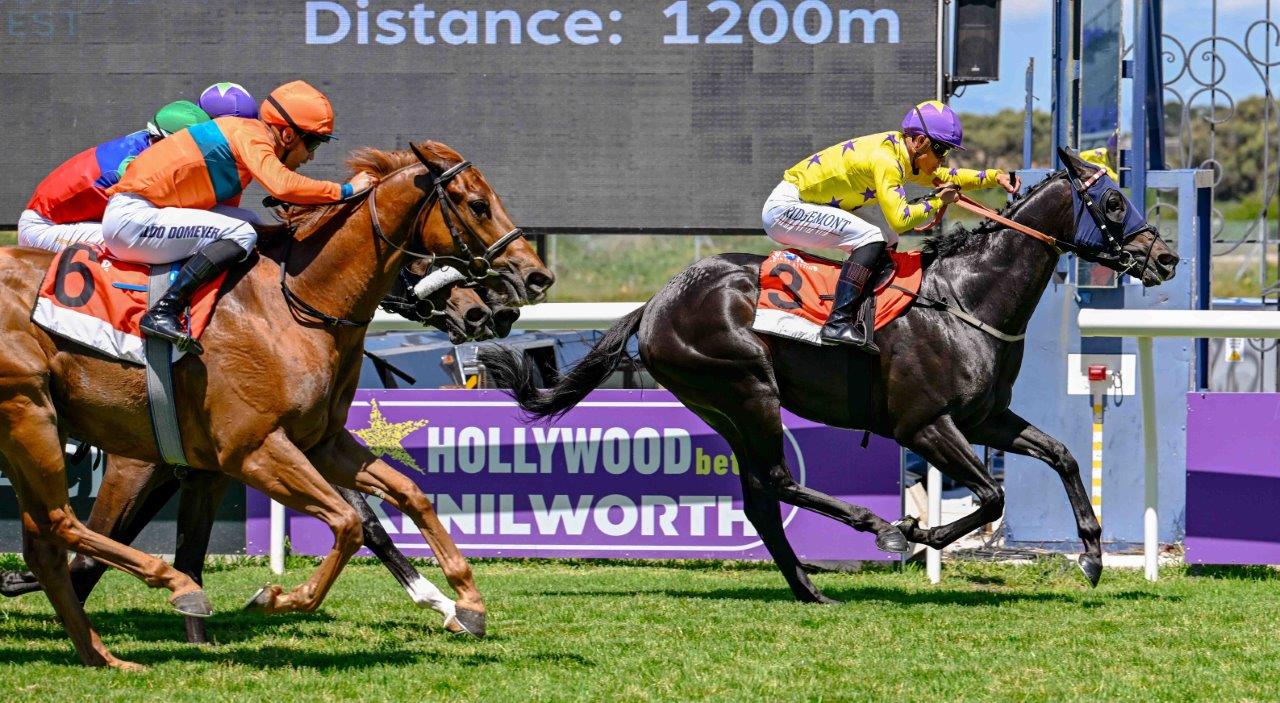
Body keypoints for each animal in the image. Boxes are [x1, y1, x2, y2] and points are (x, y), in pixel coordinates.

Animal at [0, 139, 547, 665]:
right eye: (477, 205)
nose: (531, 279)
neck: (290, 306)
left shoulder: (314, 444)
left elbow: (408, 495)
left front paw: (466, 604)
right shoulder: (246, 450)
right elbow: (350, 523)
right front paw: (275, 597)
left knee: (49, 539)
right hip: (31, 416)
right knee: (57, 526)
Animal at [481, 150, 1177, 599]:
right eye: (1113, 200)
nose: (1166, 257)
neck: (966, 297)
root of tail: (654, 302)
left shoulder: (985, 418)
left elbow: (1062, 454)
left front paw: (1091, 555)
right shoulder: (924, 425)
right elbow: (990, 497)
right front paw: (913, 531)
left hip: (724, 408)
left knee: (760, 498)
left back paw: (809, 587)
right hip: (748, 388)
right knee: (777, 480)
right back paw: (872, 528)